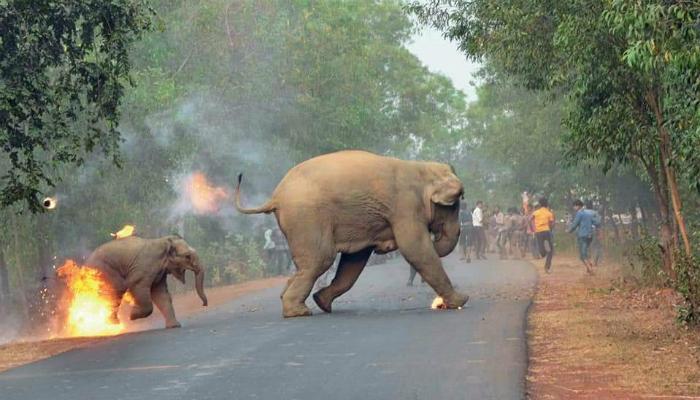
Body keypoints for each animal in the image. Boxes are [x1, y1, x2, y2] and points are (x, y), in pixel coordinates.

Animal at [237, 151, 470, 318]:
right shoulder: (405, 206)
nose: (438, 237)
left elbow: (354, 261)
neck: (421, 168)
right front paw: (461, 301)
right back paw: (298, 312)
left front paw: (322, 301)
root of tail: (275, 197)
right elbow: (415, 248)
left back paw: (299, 301)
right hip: (306, 218)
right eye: (454, 205)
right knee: (320, 259)